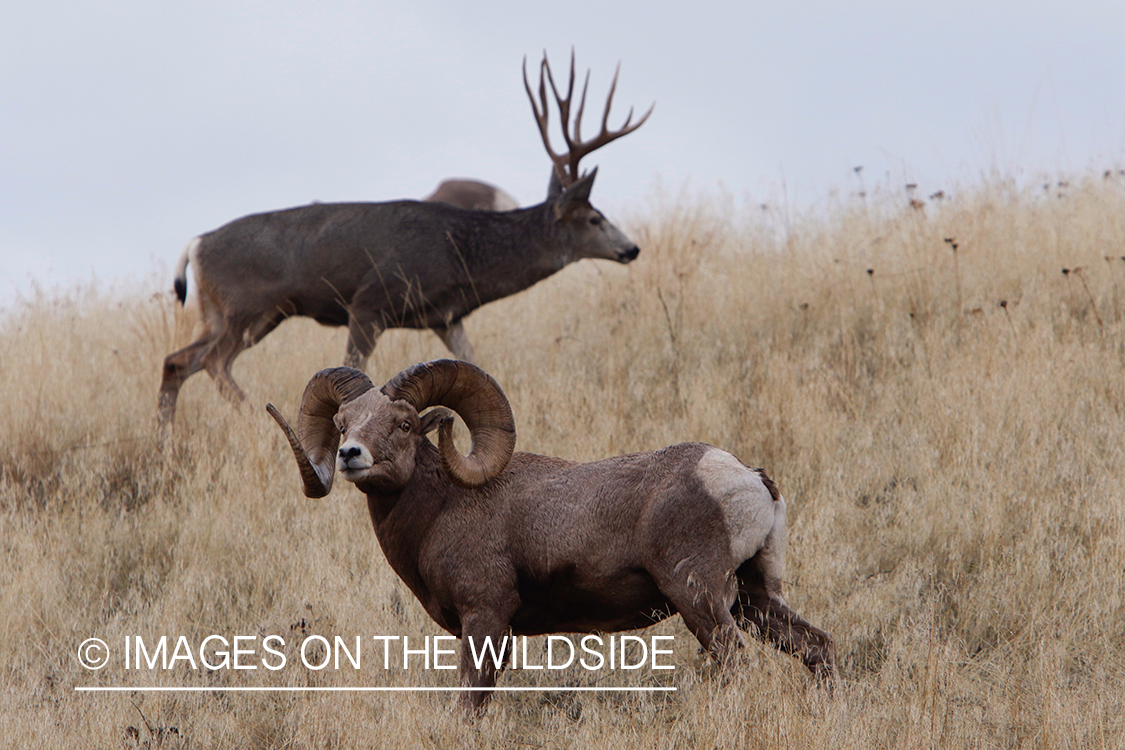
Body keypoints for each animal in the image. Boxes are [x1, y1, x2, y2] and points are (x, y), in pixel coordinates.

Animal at [158, 51, 653, 427]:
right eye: (594, 217)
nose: (632, 249)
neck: (459, 252)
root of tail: (196, 243)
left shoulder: (446, 317)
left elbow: (476, 364)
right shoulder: (370, 300)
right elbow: (355, 371)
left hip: (219, 312)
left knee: (177, 361)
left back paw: (167, 442)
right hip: (252, 305)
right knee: (214, 362)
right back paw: (255, 420)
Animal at [267, 360, 836, 712]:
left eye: (405, 424)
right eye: (344, 423)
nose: (350, 456)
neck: (441, 508)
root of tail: (746, 477)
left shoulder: (485, 620)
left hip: (701, 599)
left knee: (740, 664)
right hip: (755, 599)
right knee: (818, 647)